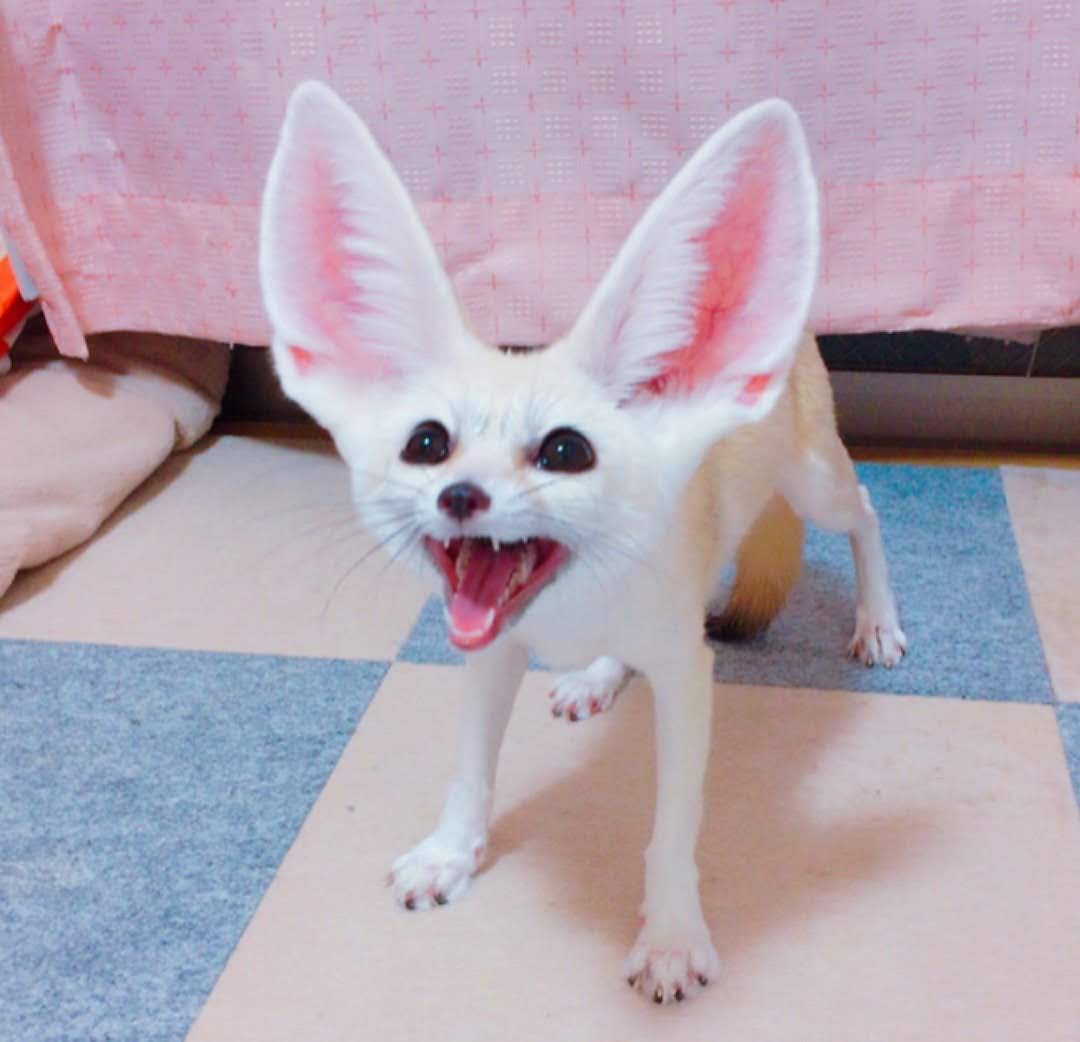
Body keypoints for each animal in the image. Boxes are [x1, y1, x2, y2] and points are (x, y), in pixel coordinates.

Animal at [259, 81, 906, 1005]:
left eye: (566, 453)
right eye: (428, 444)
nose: (462, 496)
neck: (570, 608)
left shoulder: (687, 672)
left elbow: (673, 826)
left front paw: (671, 935)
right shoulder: (491, 651)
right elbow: (471, 770)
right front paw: (451, 853)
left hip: (812, 475)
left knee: (867, 510)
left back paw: (877, 621)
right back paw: (596, 676)